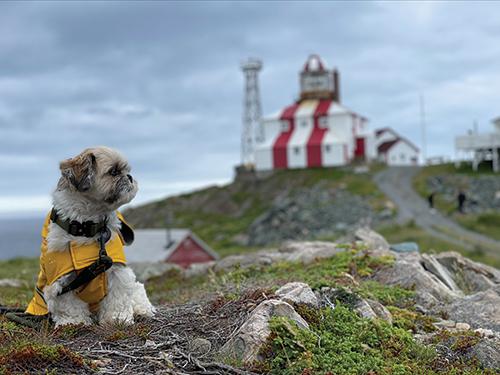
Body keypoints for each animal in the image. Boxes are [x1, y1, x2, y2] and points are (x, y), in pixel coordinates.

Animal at [26, 148, 155, 328]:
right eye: (114, 172)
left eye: (126, 171)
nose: (129, 177)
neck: (87, 227)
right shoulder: (61, 282)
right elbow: (68, 305)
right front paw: (74, 322)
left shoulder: (117, 271)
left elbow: (118, 297)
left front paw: (117, 318)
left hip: (136, 289)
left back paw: (142, 310)